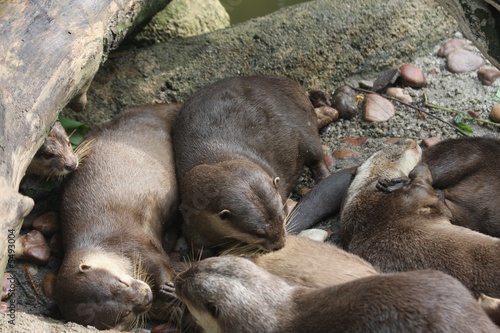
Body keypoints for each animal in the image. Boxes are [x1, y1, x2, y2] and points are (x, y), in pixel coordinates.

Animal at [57, 104, 182, 330]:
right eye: (126, 313)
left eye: (120, 281)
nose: (146, 295)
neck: (109, 246)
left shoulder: (136, 243)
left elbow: (160, 263)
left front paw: (169, 288)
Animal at [174, 75, 330, 256]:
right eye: (258, 233)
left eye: (282, 216)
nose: (280, 245)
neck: (217, 157)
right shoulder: (192, 218)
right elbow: (198, 249)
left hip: (305, 128)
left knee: (316, 155)